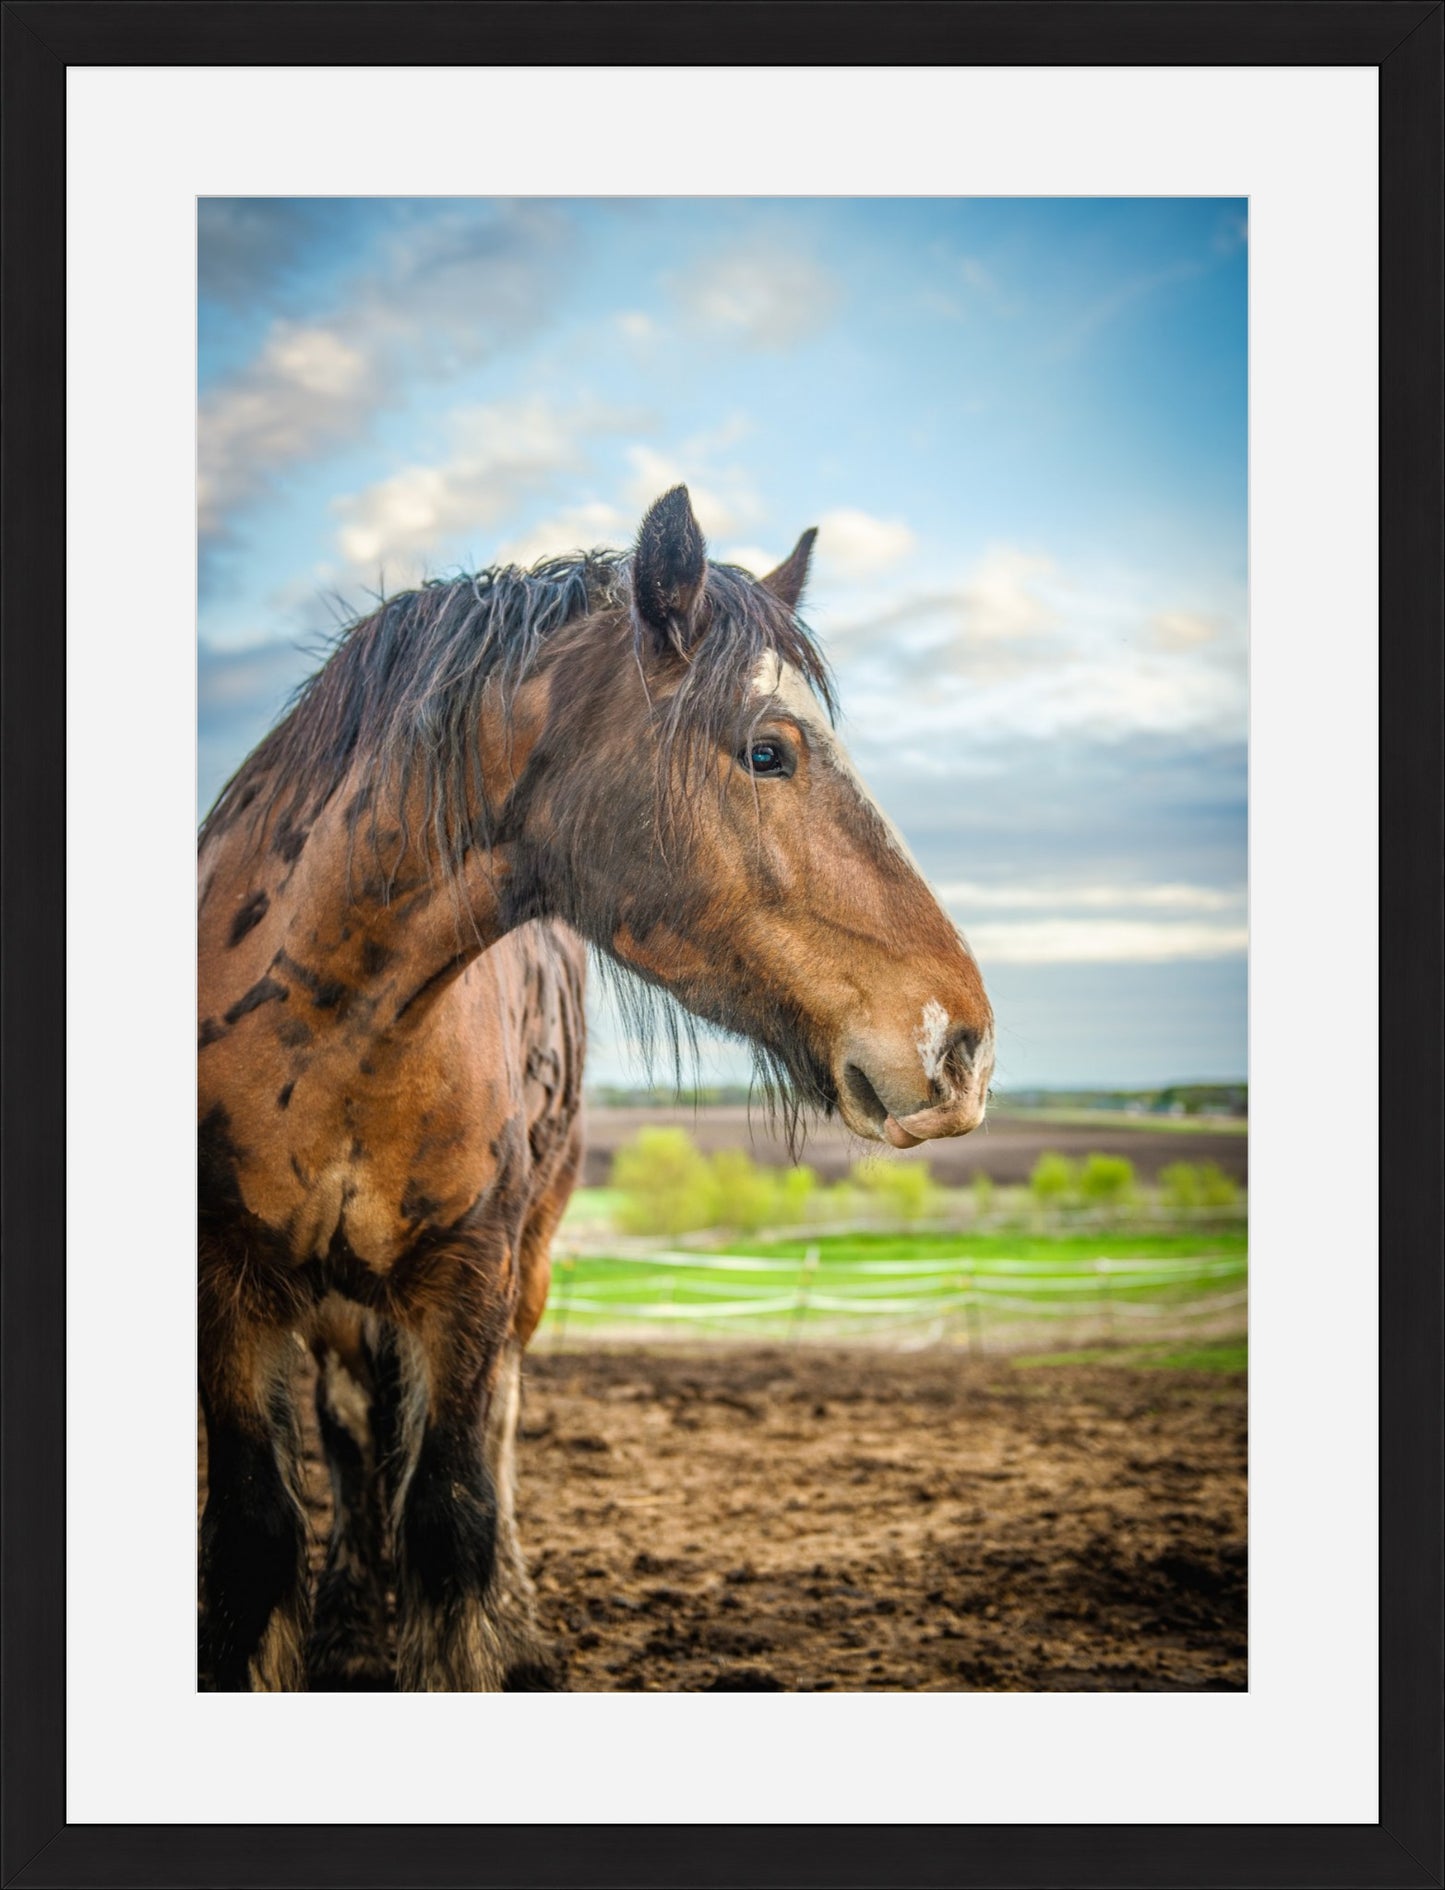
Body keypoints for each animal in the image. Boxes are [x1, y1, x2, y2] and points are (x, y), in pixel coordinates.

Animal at [197, 491, 989, 1701]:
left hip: (518, 1272)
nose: (962, 1044)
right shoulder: (230, 1290)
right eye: (769, 751)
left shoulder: (467, 1278)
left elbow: (454, 1519)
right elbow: (258, 1539)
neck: (329, 1028)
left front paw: (483, 1635)